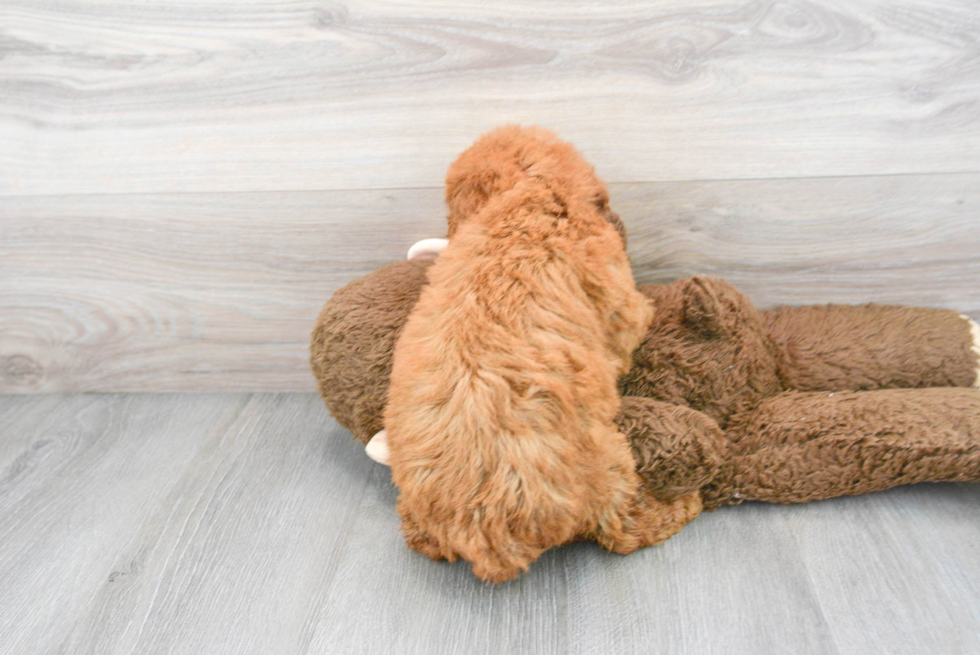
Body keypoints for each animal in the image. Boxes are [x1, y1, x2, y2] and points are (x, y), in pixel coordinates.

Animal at [384, 128, 704, 584]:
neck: (525, 194)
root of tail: (486, 525)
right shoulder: (616, 297)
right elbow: (630, 323)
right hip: (607, 467)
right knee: (623, 528)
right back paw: (682, 506)